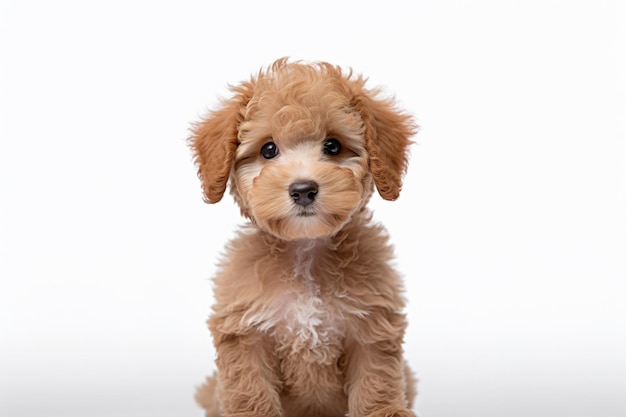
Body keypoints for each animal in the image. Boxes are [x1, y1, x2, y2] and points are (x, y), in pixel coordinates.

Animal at [188, 57, 416, 416]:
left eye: (333, 146)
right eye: (268, 150)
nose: (303, 189)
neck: (305, 251)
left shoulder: (371, 329)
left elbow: (376, 385)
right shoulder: (246, 336)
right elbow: (250, 394)